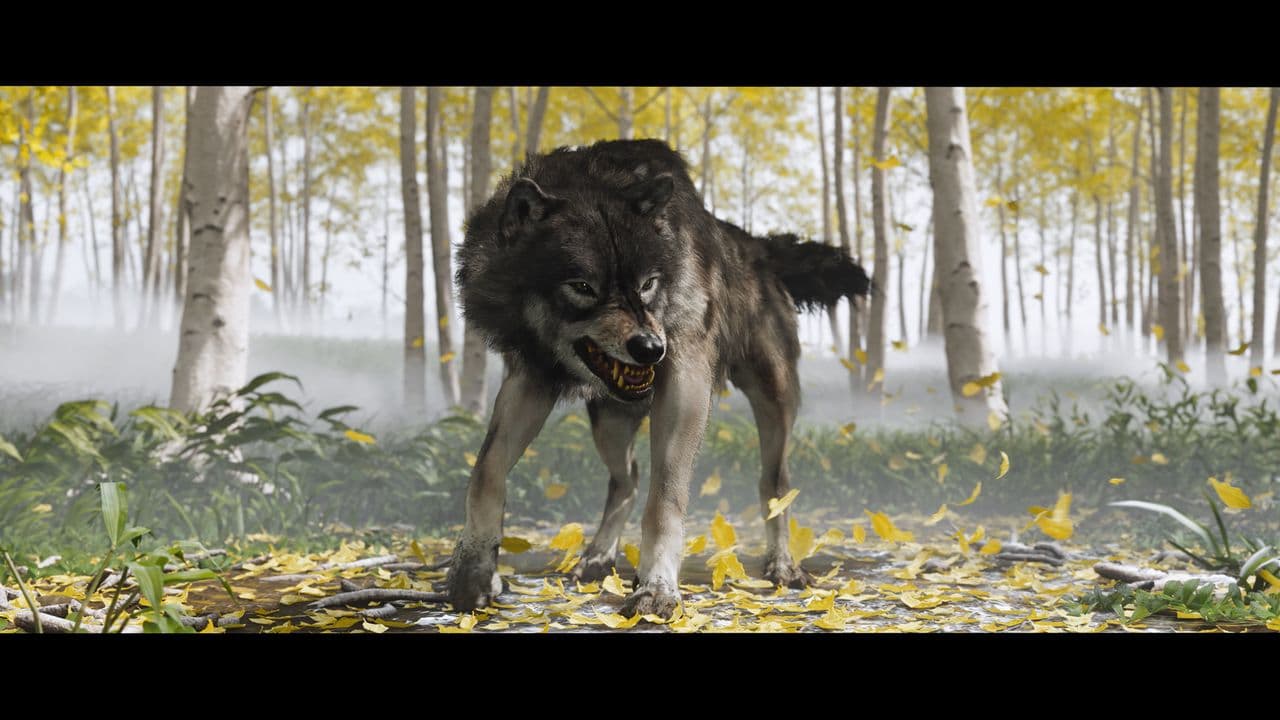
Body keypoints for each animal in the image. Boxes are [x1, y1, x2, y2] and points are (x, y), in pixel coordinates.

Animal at [448, 139, 869, 618]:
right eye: (583, 286)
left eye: (648, 283)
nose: (651, 349)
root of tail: (755, 244)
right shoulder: (530, 380)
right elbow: (486, 471)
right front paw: (474, 571)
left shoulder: (685, 375)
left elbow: (665, 498)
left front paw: (655, 587)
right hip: (610, 424)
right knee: (627, 478)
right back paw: (597, 557)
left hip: (775, 402)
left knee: (774, 484)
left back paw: (782, 566)